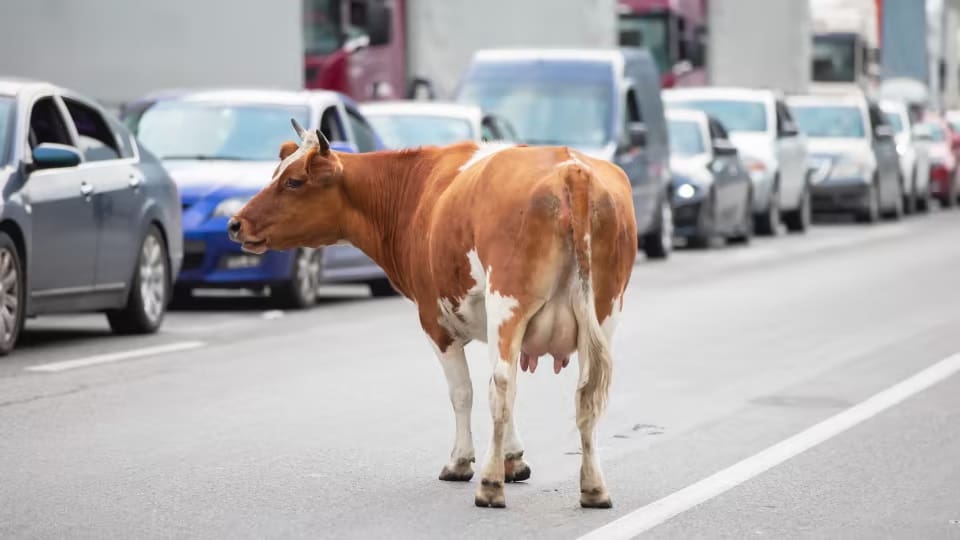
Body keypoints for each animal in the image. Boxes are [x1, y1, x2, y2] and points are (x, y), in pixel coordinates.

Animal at [227, 120, 636, 508]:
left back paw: (490, 487)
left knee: (502, 386)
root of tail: (570, 169)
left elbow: (463, 392)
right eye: (276, 173)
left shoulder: (435, 321)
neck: (417, 191)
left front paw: (462, 462)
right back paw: (594, 488)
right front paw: (514, 459)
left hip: (508, 303)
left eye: (294, 181)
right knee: (585, 391)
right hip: (603, 312)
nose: (235, 223)